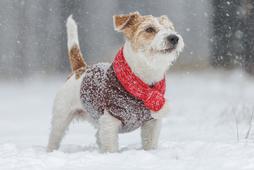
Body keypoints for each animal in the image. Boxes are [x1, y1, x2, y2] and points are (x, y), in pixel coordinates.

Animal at [46, 11, 184, 153]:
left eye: (170, 28)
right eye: (149, 29)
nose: (174, 38)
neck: (142, 82)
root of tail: (80, 69)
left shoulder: (152, 122)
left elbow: (149, 144)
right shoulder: (110, 120)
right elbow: (111, 147)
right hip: (62, 116)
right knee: (54, 137)